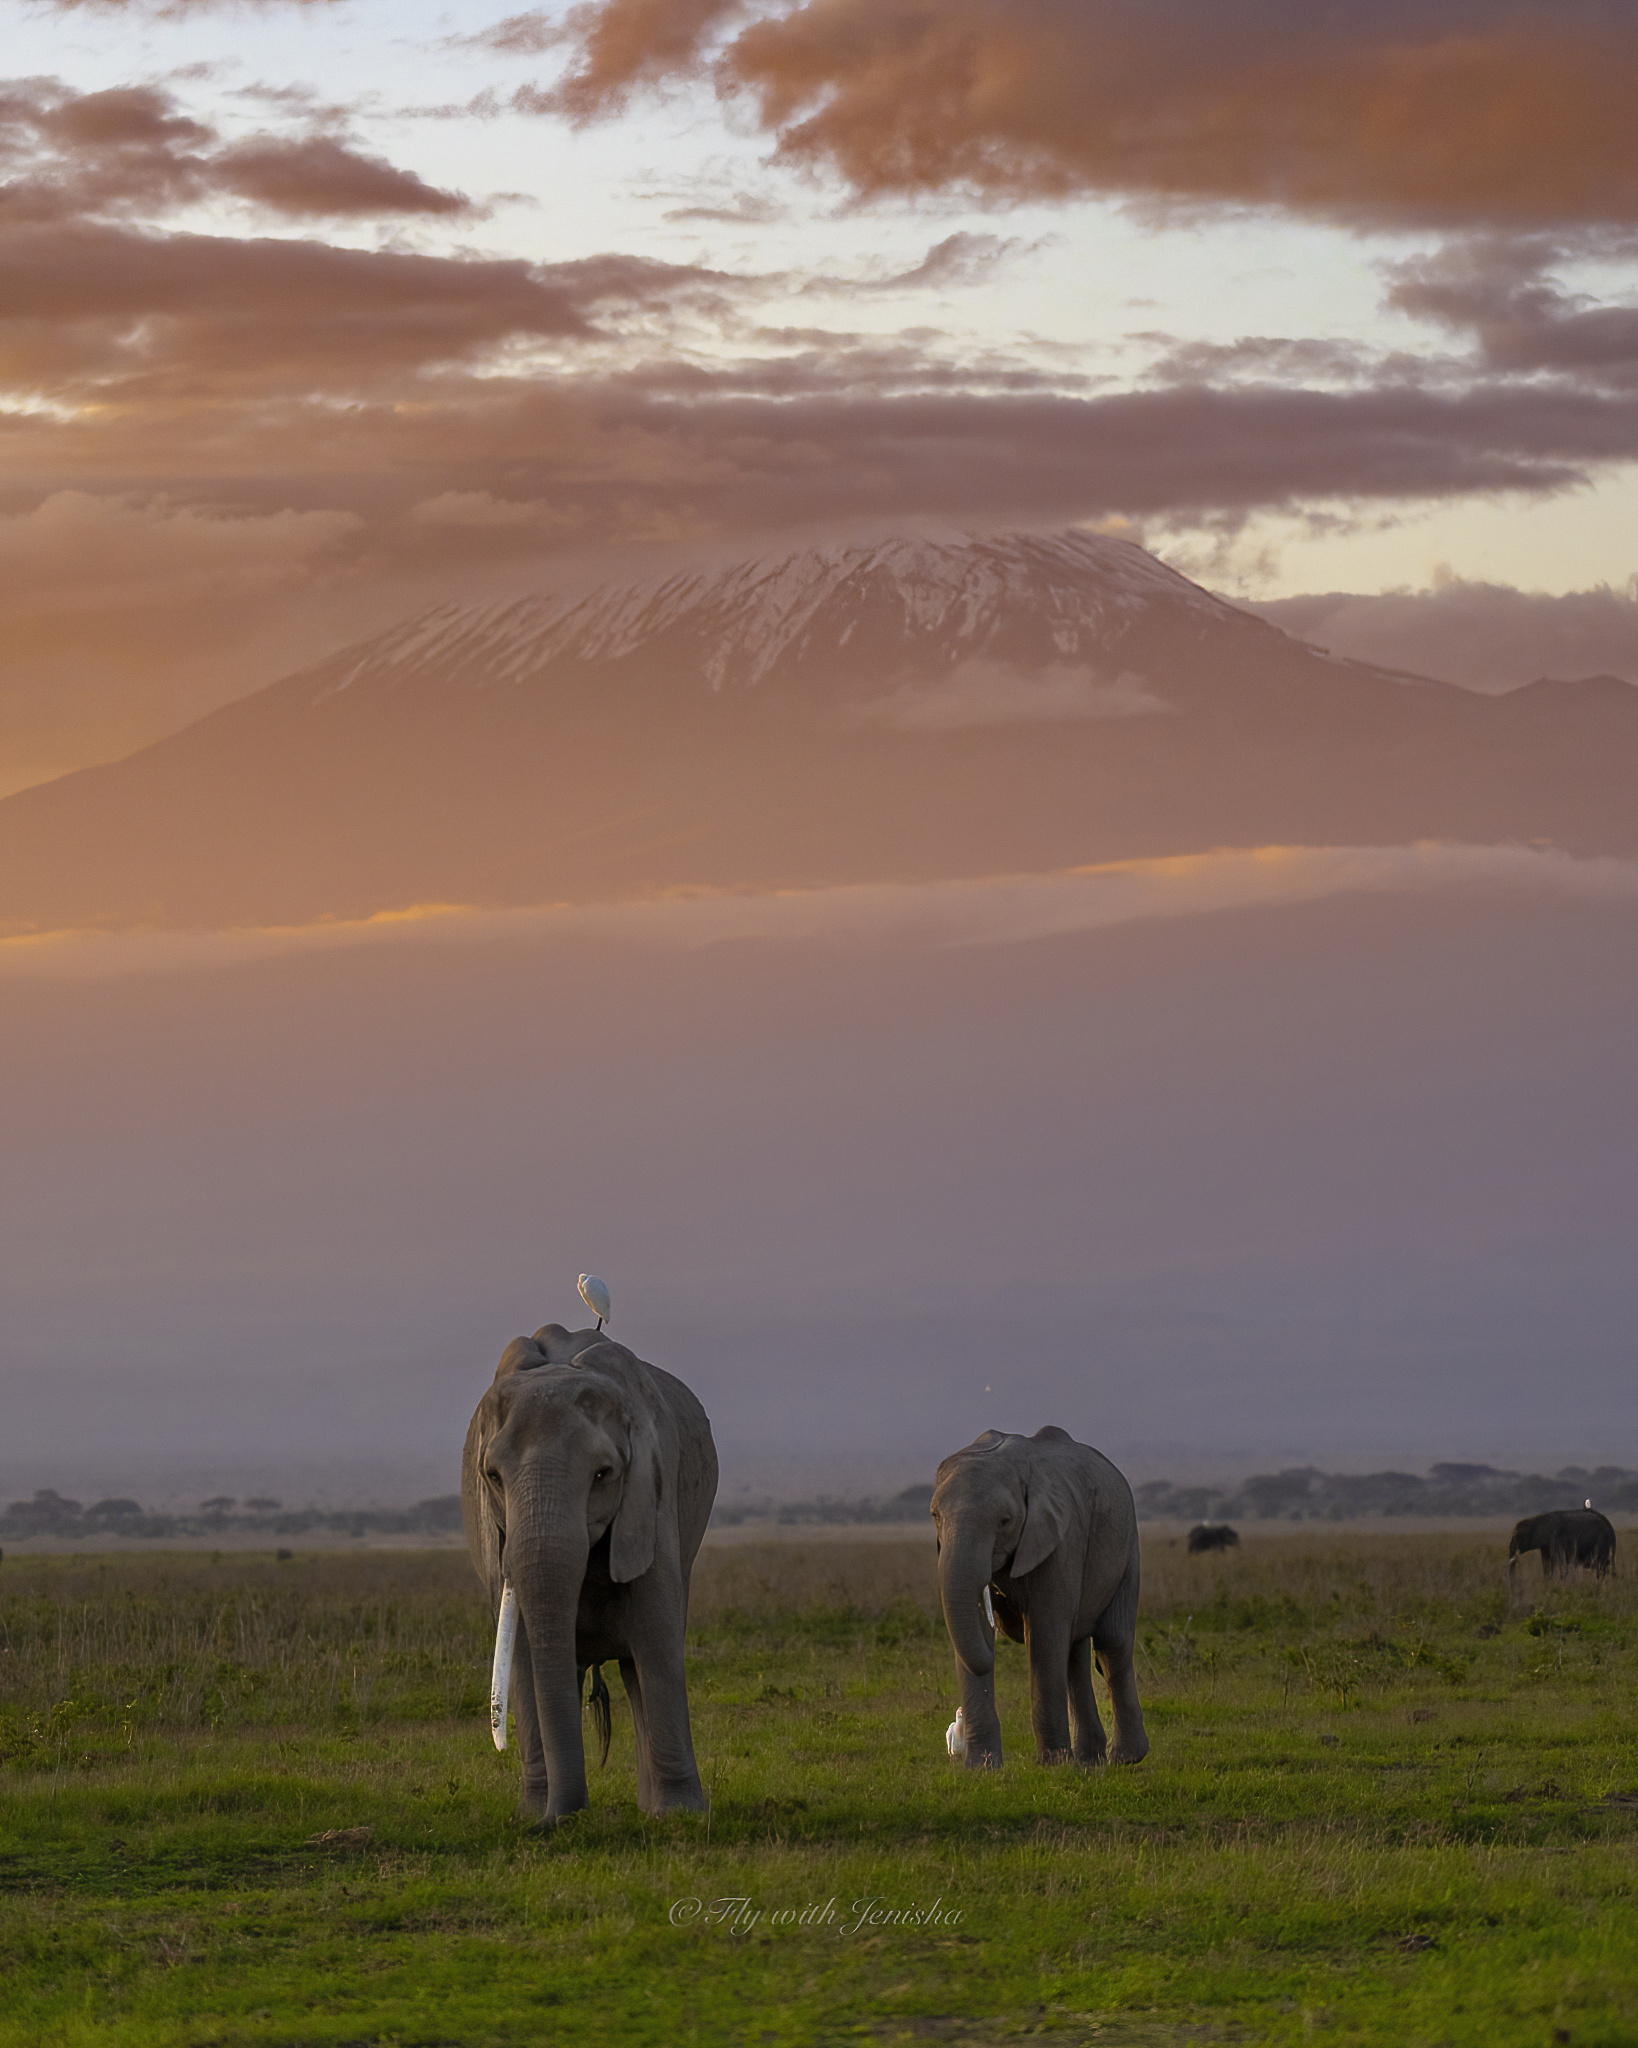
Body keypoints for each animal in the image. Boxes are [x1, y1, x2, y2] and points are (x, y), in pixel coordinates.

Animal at [462, 1321, 718, 1823]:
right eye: (493, 1477)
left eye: (603, 1475)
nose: (560, 1821)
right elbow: (524, 1655)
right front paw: (533, 1816)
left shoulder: (652, 1496)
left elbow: (656, 1640)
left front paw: (681, 1816)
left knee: (638, 1665)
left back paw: (653, 1809)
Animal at [932, 1425, 1148, 1770]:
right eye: (935, 1516)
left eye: (1005, 1521)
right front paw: (982, 1767)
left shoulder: (1061, 1537)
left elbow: (1045, 1634)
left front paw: (1053, 1765)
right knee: (1075, 1650)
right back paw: (1089, 1760)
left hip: (1127, 1543)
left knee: (1111, 1642)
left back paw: (1122, 1759)